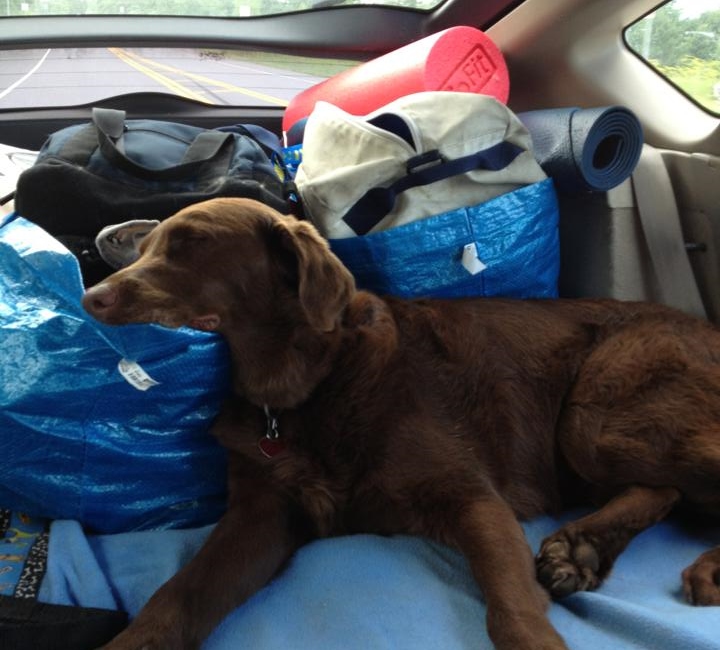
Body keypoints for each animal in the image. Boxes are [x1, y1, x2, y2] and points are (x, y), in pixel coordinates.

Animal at [81, 197, 720, 648]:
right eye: (145, 246)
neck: (306, 387)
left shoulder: (471, 497)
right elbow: (179, 597)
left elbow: (509, 608)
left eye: (194, 244)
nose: (91, 299)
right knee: (662, 490)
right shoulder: (260, 515)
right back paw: (579, 551)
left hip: (595, 416)